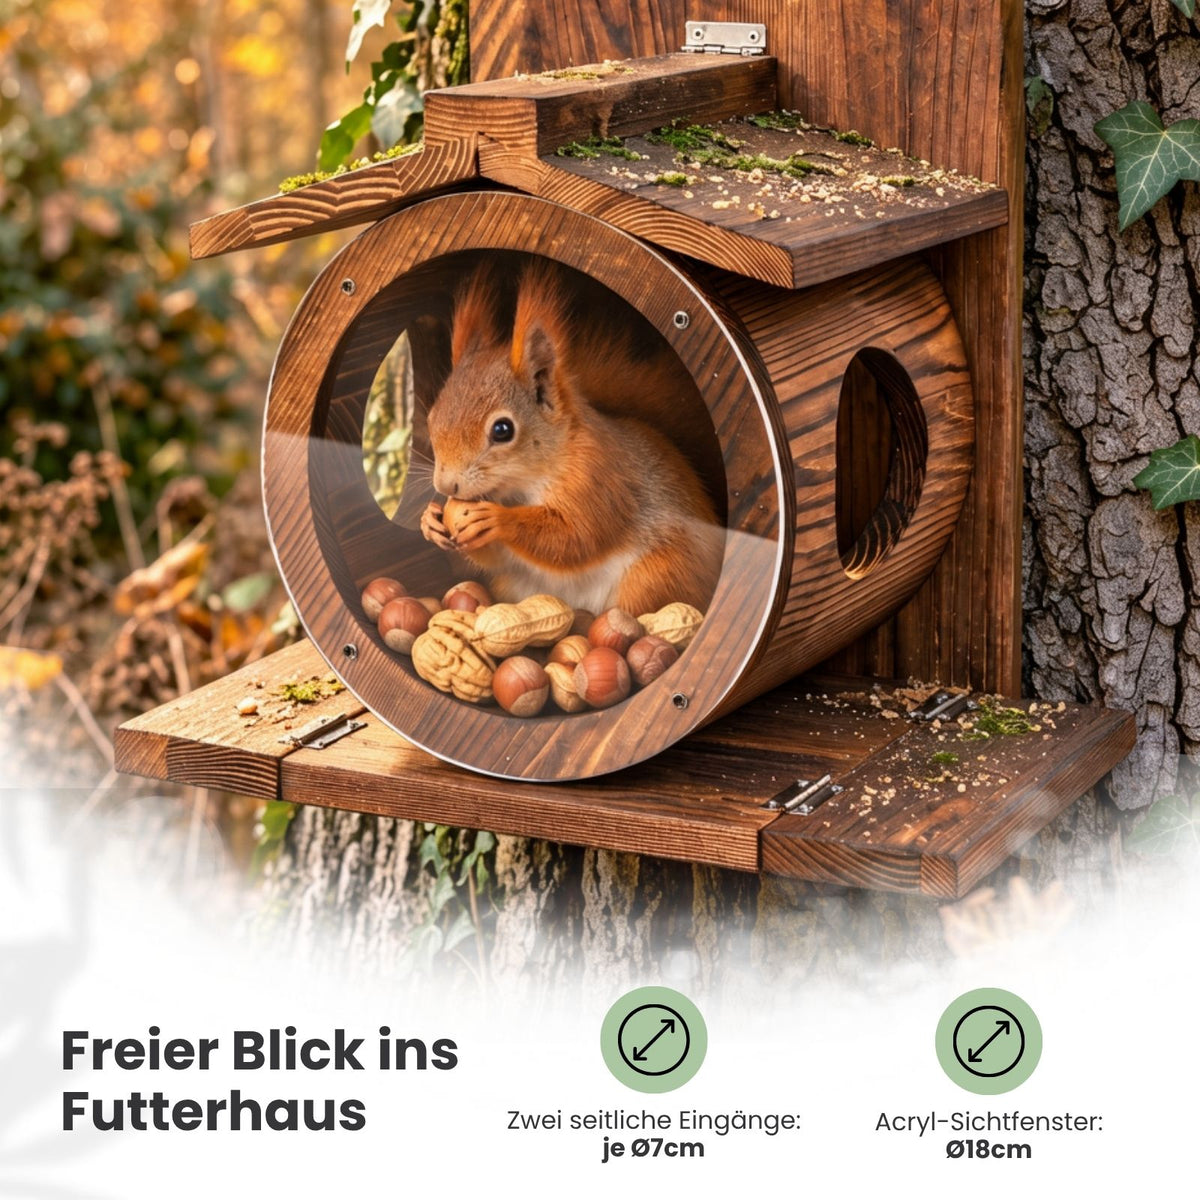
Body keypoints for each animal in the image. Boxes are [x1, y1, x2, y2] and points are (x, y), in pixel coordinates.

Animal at [419, 259, 724, 616]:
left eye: (502, 430)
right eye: (431, 417)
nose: (446, 486)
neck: (523, 484)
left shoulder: (599, 479)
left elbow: (575, 536)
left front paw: (498, 519)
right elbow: (495, 555)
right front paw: (429, 521)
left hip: (656, 574)